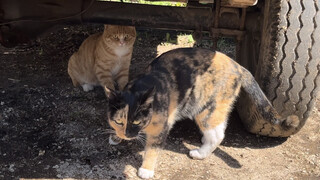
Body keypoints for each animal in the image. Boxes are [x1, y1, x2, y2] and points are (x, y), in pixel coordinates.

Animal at [104, 47, 298, 179]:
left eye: (137, 122)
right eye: (120, 122)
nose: (127, 134)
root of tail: (238, 66)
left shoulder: (161, 128)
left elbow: (152, 149)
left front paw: (146, 170)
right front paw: (116, 137)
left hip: (207, 109)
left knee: (218, 135)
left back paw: (200, 153)